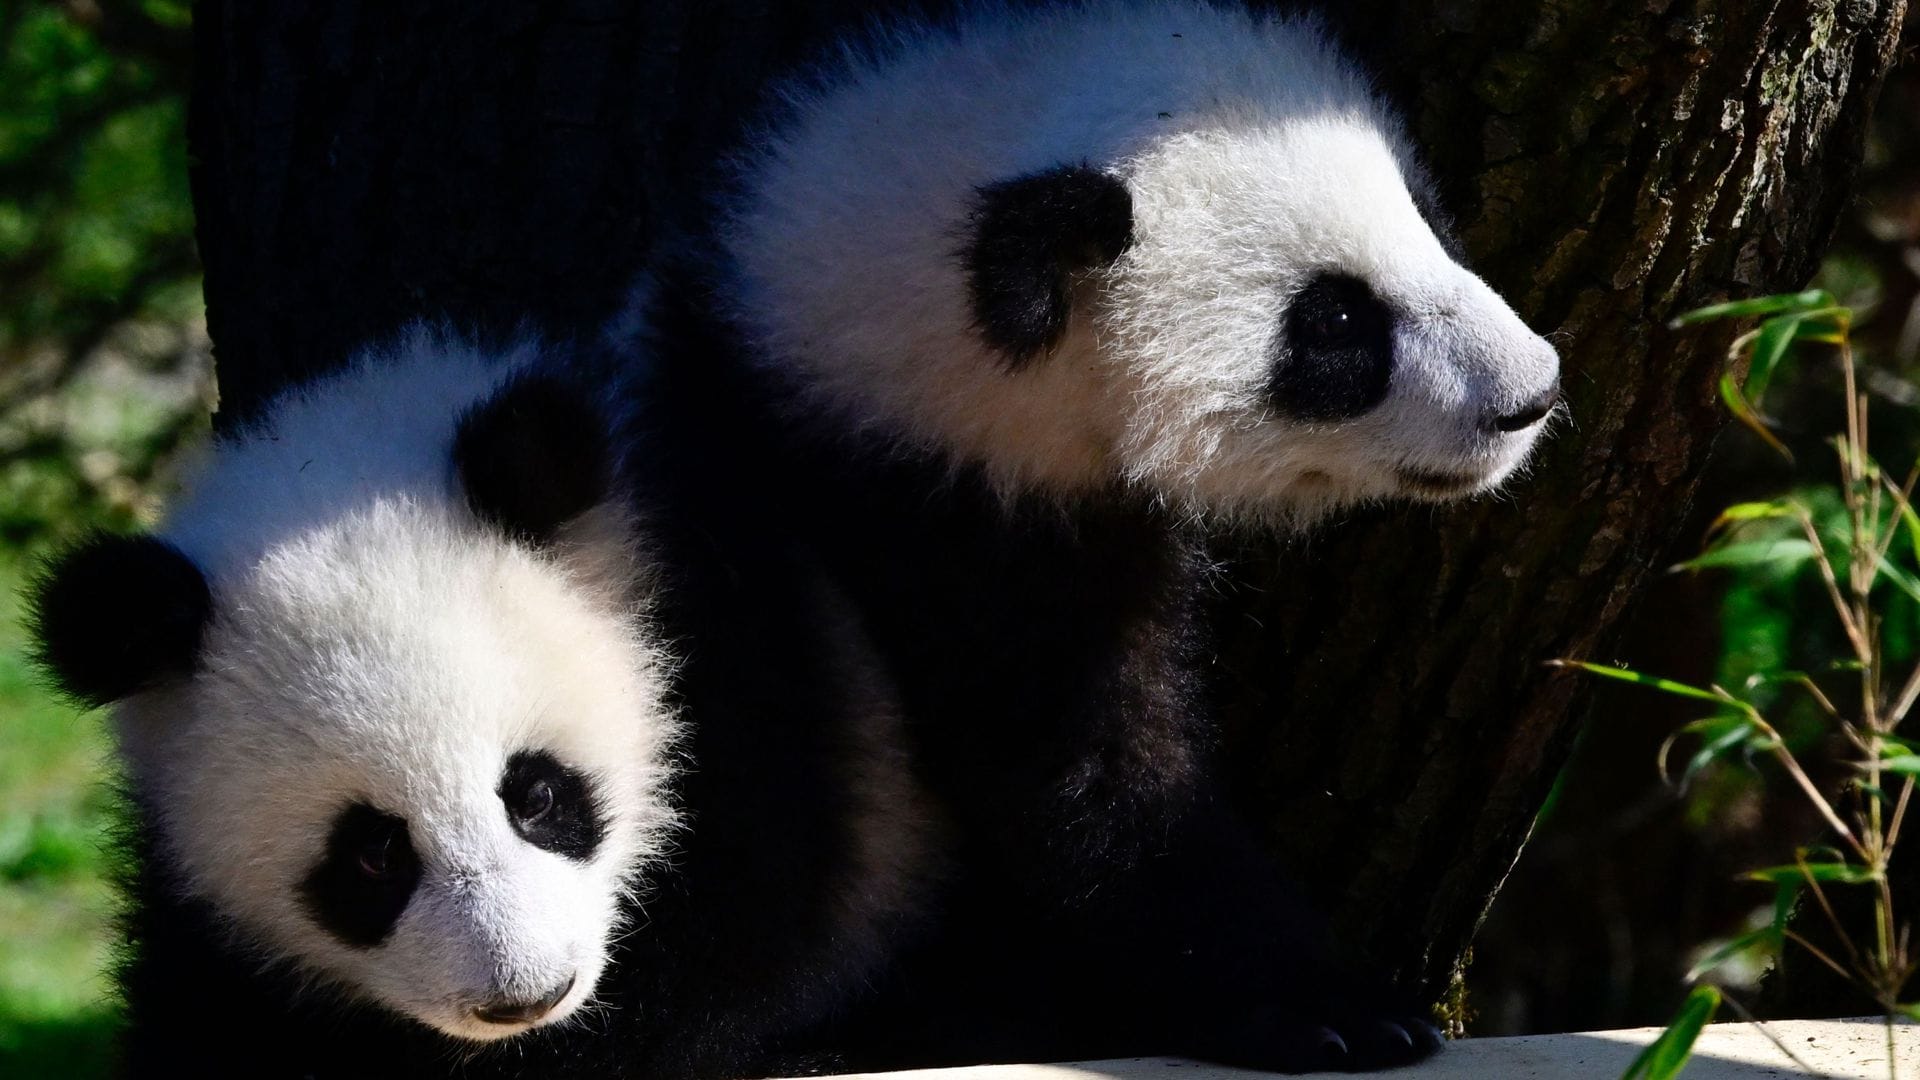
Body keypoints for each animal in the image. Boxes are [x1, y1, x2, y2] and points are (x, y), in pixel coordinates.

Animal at [638, 0, 1560, 1071]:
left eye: (1429, 221)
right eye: (1334, 323)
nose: (1530, 396)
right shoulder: (932, 523)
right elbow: (1093, 779)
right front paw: (1331, 1008)